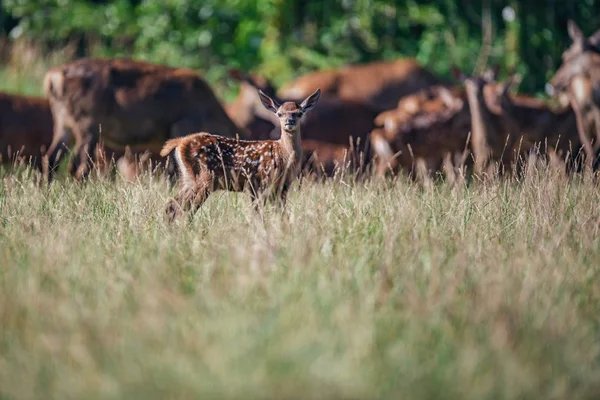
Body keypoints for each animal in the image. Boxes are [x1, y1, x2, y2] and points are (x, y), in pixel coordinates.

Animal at [43, 57, 243, 180]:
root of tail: (52, 78)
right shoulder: (181, 126)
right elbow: (174, 172)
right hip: (88, 123)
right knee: (79, 166)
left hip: (63, 122)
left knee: (50, 158)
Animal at [158, 88, 318, 222]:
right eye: (279, 113)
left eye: (299, 113)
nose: (290, 121)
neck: (284, 155)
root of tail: (180, 141)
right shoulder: (260, 182)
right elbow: (257, 214)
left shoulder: (282, 186)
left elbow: (281, 214)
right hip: (203, 177)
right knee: (183, 209)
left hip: (188, 178)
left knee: (171, 206)